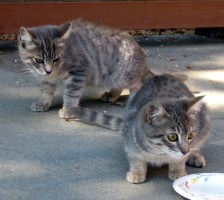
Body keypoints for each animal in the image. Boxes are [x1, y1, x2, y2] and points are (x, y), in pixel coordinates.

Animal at [18, 19, 153, 118]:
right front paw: (42, 103)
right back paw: (112, 95)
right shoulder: (45, 79)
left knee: (138, 85)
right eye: (39, 60)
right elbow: (46, 90)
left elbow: (71, 94)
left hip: (123, 75)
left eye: (56, 59)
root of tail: (140, 53)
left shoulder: (78, 73)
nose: (48, 70)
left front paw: (68, 110)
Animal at [70, 74, 210, 183]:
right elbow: (136, 158)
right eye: (172, 137)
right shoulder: (130, 140)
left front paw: (178, 170)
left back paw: (194, 155)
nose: (185, 151)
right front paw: (137, 172)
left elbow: (179, 159)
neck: (158, 152)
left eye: (191, 135)